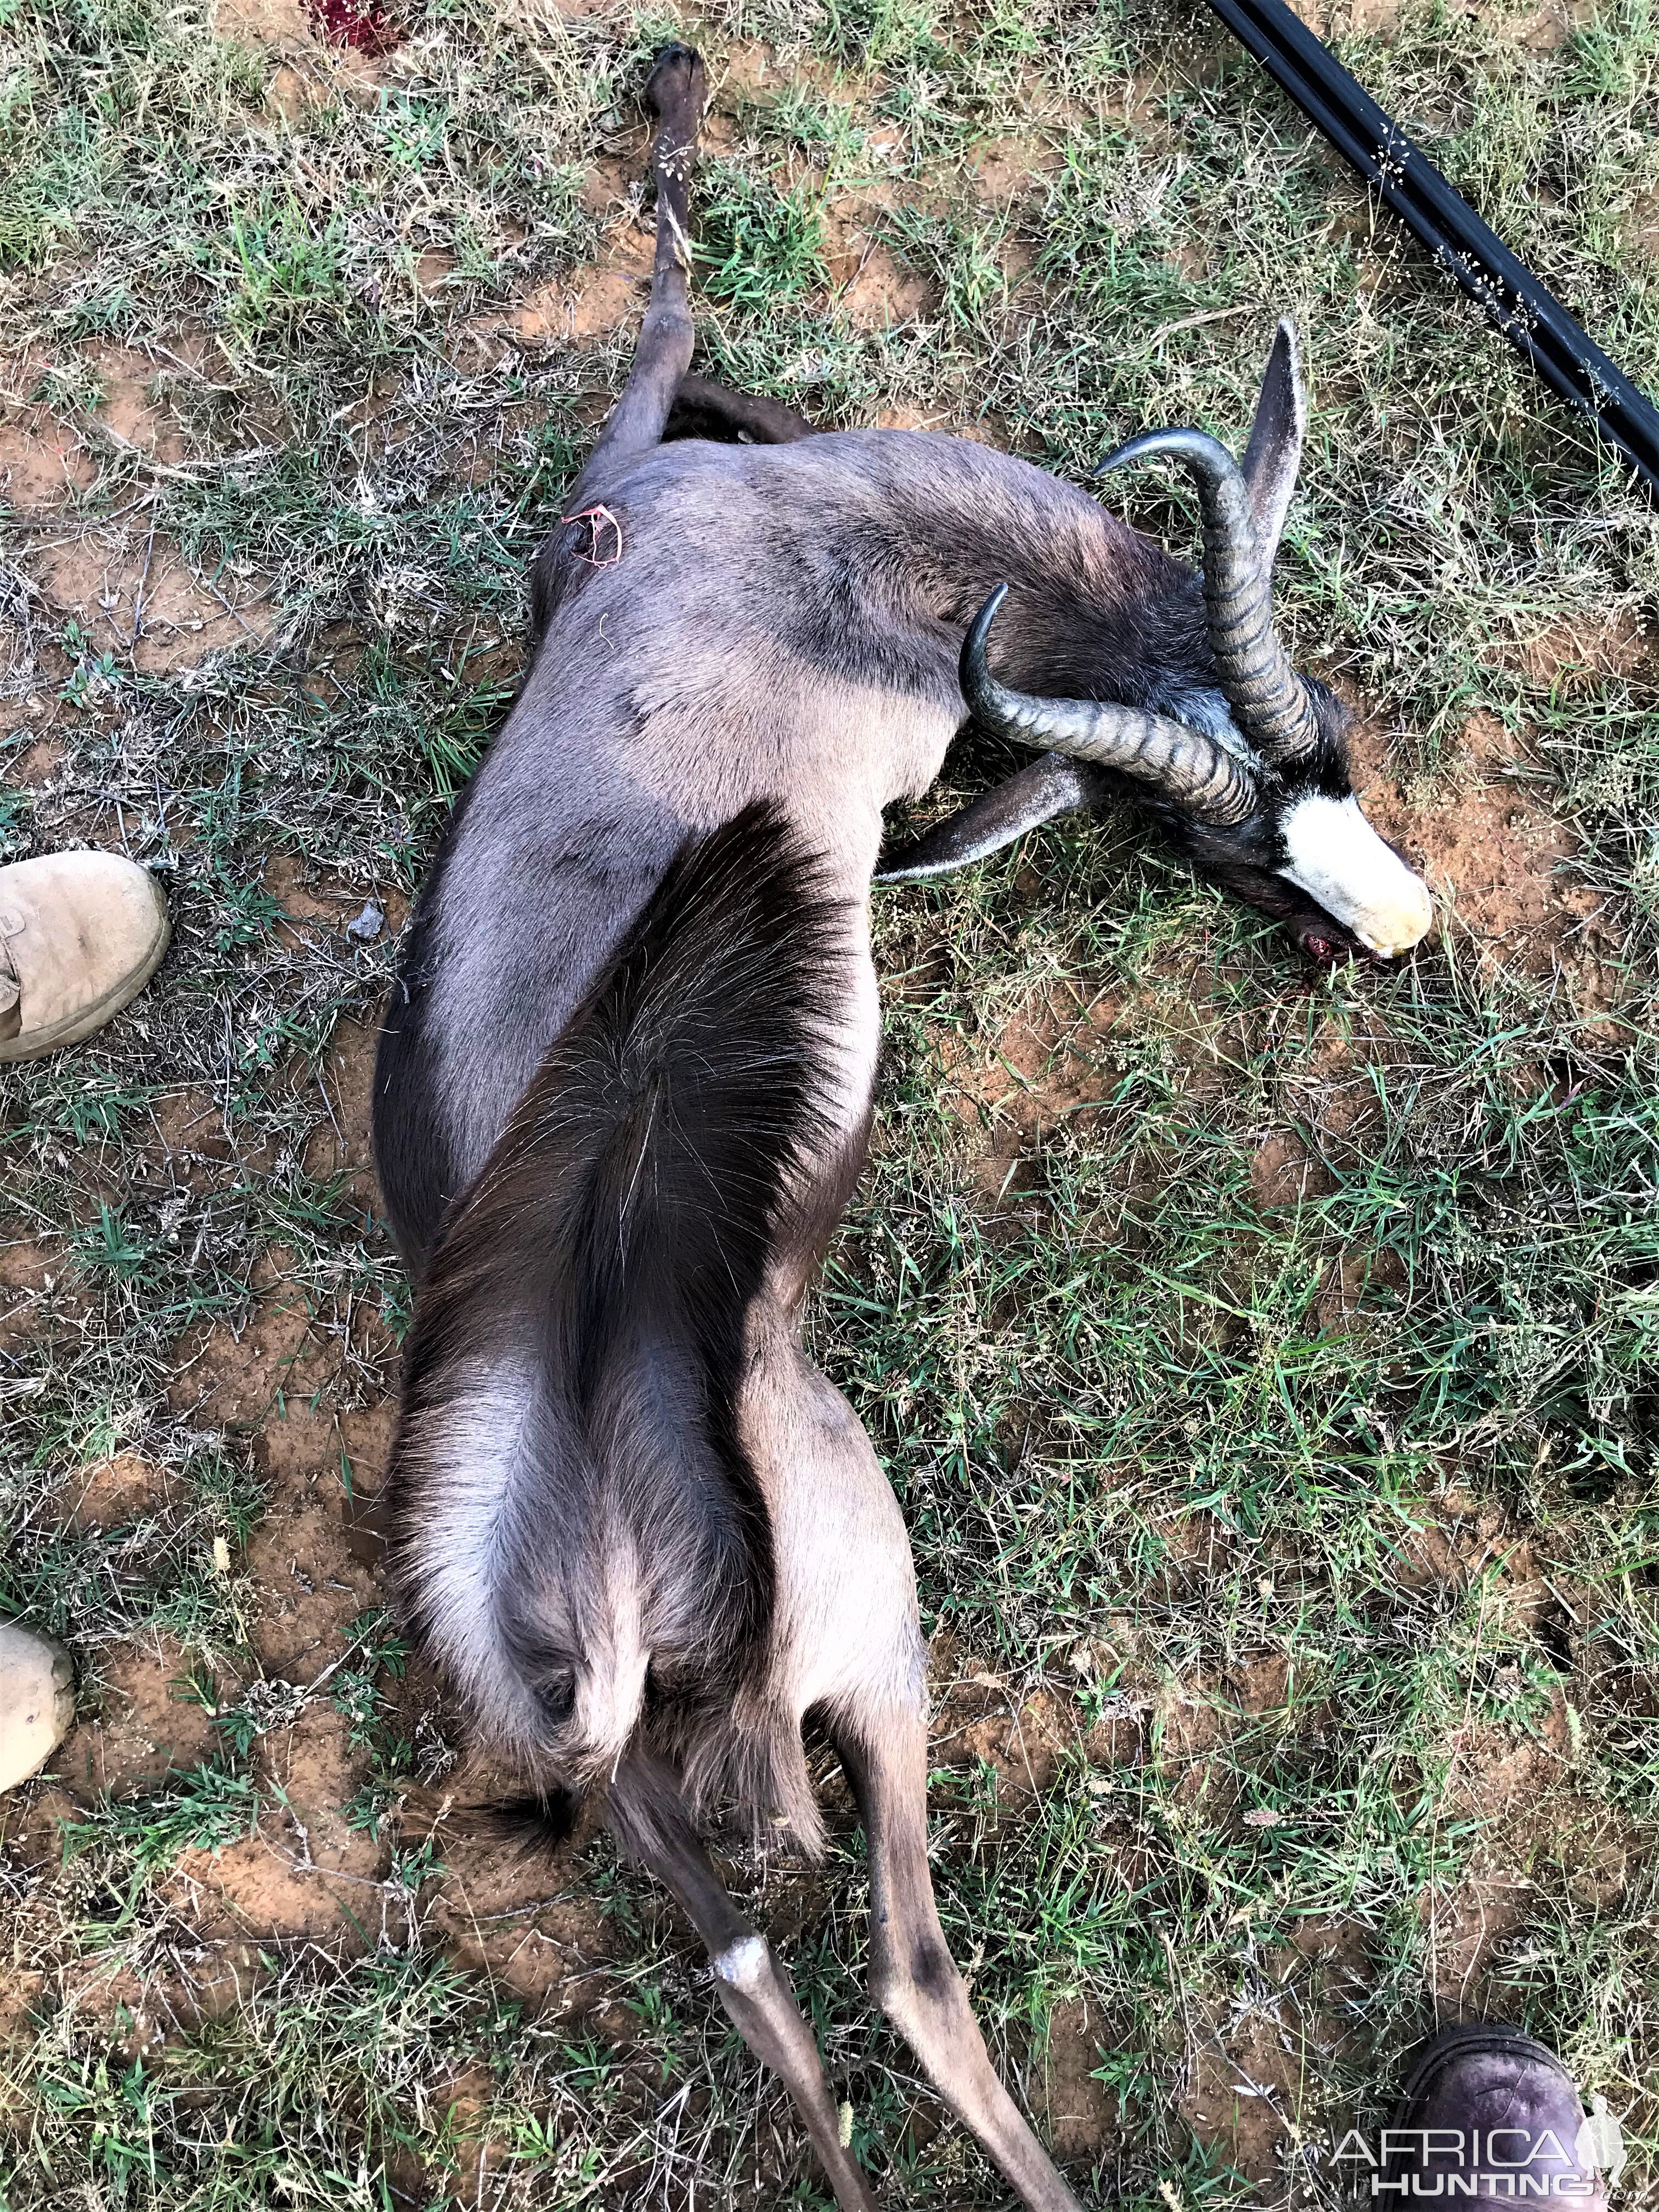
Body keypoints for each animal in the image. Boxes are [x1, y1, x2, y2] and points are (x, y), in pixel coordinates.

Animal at [374, 39, 1433, 2212]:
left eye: (1342, 753)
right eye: (1222, 852)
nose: (1391, 928)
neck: (814, 555)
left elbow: (691, 334)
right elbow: (676, 302)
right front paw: (674, 105)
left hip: (650, 1813)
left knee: (763, 1979)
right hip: (881, 1672)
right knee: (911, 1968)